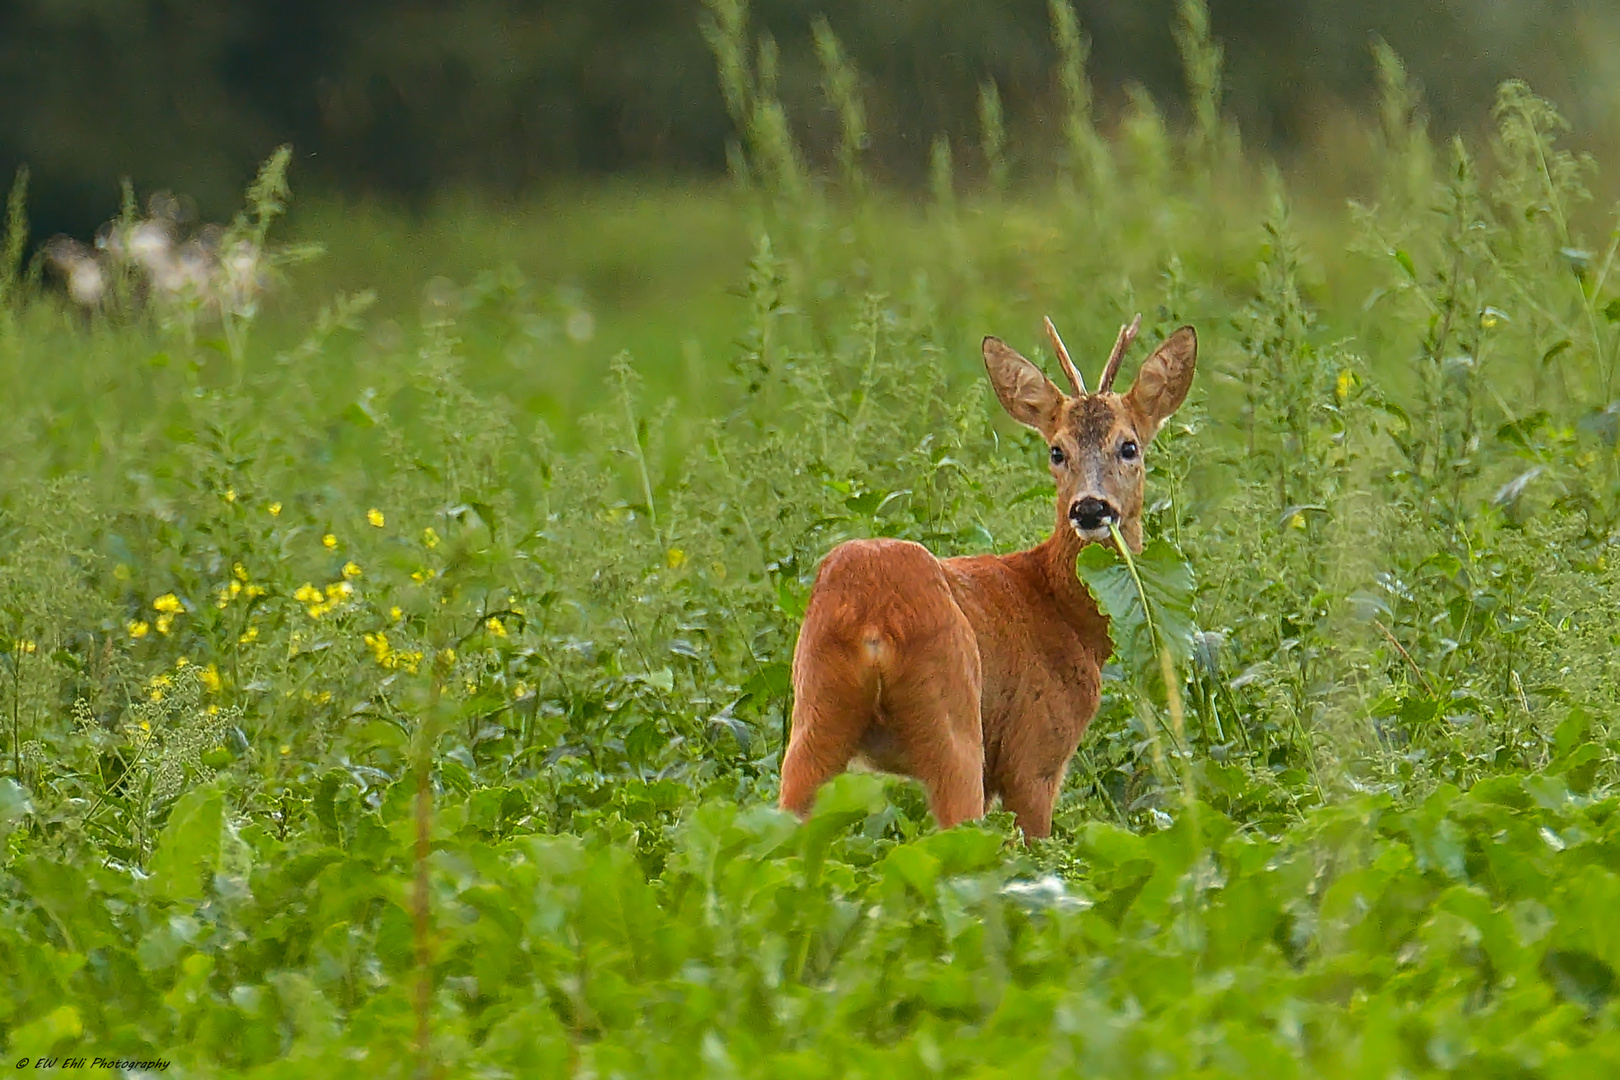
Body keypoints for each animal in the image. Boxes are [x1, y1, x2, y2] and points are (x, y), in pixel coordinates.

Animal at [777, 317, 1198, 841]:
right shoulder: (1035, 753)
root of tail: (874, 618)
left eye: (1129, 446)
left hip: (815, 707)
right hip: (953, 711)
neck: (1063, 612)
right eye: (1057, 450)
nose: (1090, 508)